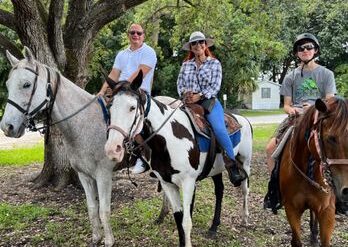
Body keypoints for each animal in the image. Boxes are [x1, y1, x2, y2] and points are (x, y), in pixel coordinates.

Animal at [1, 47, 121, 246]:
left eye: (26, 84)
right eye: (8, 85)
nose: (7, 127)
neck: (86, 123)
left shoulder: (104, 175)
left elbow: (104, 211)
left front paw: (109, 241)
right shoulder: (84, 176)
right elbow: (92, 208)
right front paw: (96, 238)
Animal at [104, 72, 253, 246]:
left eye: (132, 107)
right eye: (109, 106)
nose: (112, 148)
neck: (167, 140)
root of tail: (243, 119)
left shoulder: (188, 183)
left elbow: (186, 222)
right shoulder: (167, 183)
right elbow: (178, 218)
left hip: (245, 162)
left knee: (244, 189)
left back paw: (245, 218)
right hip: (216, 168)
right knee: (219, 191)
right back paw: (214, 227)